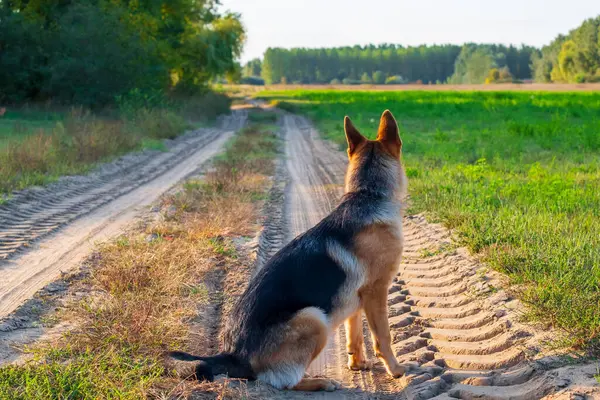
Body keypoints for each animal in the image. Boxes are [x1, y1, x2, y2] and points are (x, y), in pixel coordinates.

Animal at [170, 109, 408, 390]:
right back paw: (320, 382)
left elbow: (355, 335)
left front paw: (358, 364)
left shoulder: (358, 299)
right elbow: (383, 337)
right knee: (284, 383)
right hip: (314, 318)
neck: (368, 193)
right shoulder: (376, 292)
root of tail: (234, 355)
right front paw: (396, 370)